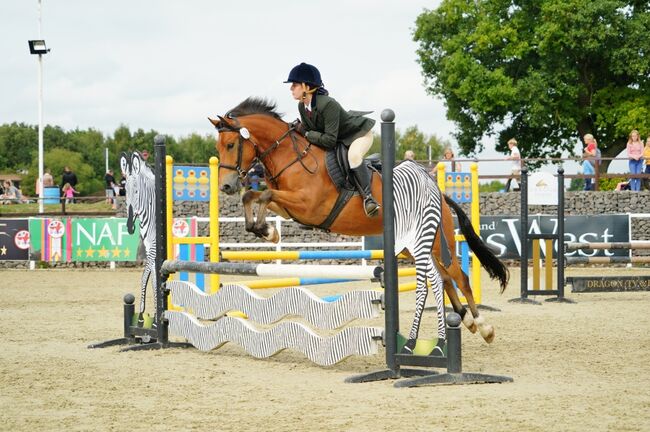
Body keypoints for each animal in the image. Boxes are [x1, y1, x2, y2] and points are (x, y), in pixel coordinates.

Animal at [208, 96, 506, 342]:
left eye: (231, 144)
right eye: (218, 148)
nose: (226, 186)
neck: (292, 157)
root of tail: (440, 195)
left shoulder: (309, 205)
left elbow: (264, 193)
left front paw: (267, 231)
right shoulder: (288, 206)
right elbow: (254, 196)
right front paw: (266, 231)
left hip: (435, 242)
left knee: (459, 277)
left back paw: (484, 327)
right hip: (412, 247)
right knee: (442, 279)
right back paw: (465, 320)